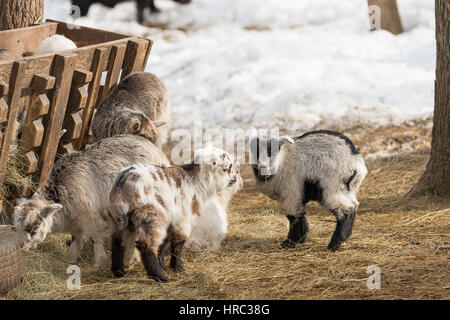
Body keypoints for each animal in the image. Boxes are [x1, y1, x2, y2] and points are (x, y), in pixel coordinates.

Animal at [108, 149, 239, 282]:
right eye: (227, 167)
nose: (234, 179)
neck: (196, 181)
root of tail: (124, 182)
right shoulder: (183, 219)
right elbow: (178, 243)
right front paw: (178, 269)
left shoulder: (171, 219)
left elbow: (164, 243)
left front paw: (165, 267)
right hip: (150, 215)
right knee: (146, 245)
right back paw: (159, 277)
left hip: (118, 218)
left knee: (118, 242)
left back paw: (119, 272)